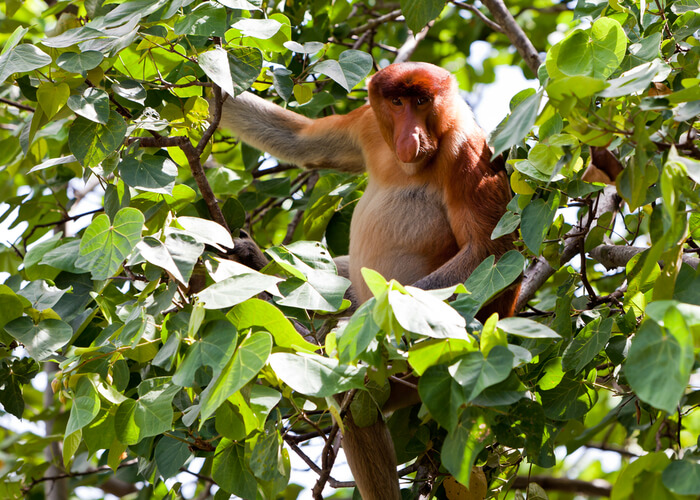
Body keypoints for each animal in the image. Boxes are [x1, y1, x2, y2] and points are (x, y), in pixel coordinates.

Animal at [214, 62, 518, 499]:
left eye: (421, 101)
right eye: (397, 103)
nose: (410, 137)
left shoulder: (467, 151)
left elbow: (491, 249)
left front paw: (356, 325)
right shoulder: (369, 124)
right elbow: (301, 142)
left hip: (418, 368)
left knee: (352, 398)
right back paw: (258, 266)